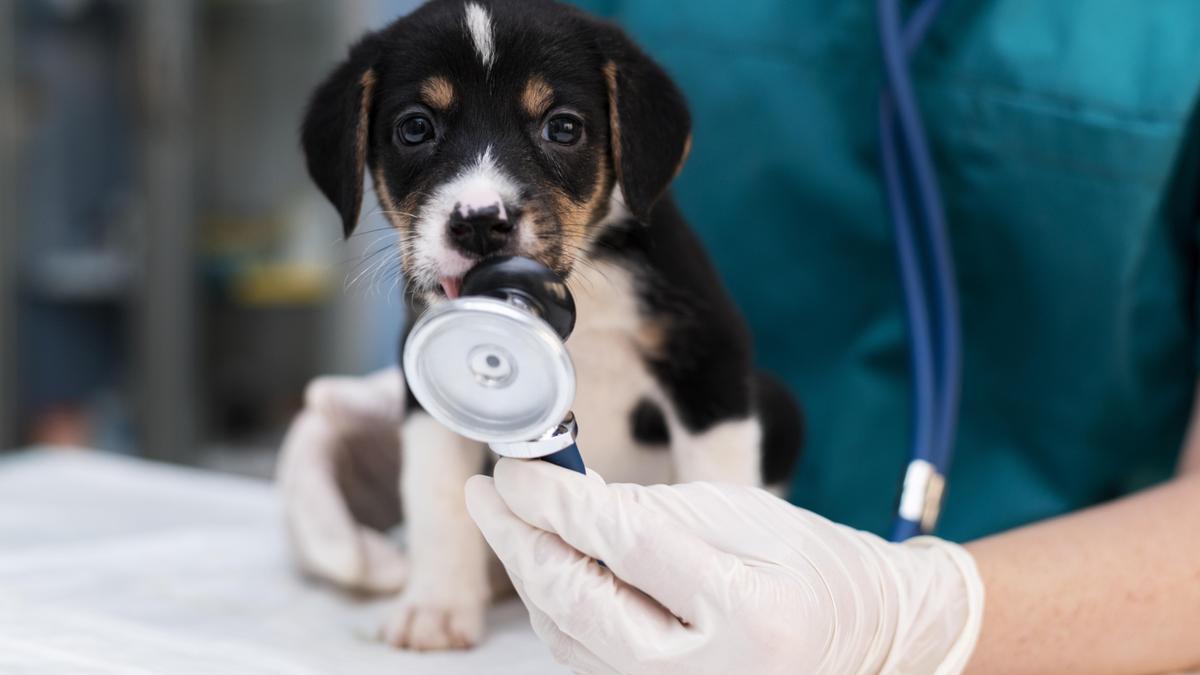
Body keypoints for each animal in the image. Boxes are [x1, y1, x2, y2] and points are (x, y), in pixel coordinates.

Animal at [302, 0, 806, 653]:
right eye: (414, 128)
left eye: (563, 128)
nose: (480, 222)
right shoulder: (425, 387)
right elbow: (437, 498)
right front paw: (436, 606)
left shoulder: (707, 358)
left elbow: (718, 486)